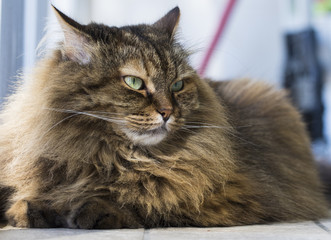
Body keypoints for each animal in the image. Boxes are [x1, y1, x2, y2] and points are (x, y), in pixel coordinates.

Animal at [0, 5, 330, 228]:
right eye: (134, 82)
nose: (168, 112)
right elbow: (35, 197)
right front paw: (30, 209)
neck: (111, 154)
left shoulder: (231, 195)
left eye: (177, 85)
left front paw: (93, 208)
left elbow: (150, 199)